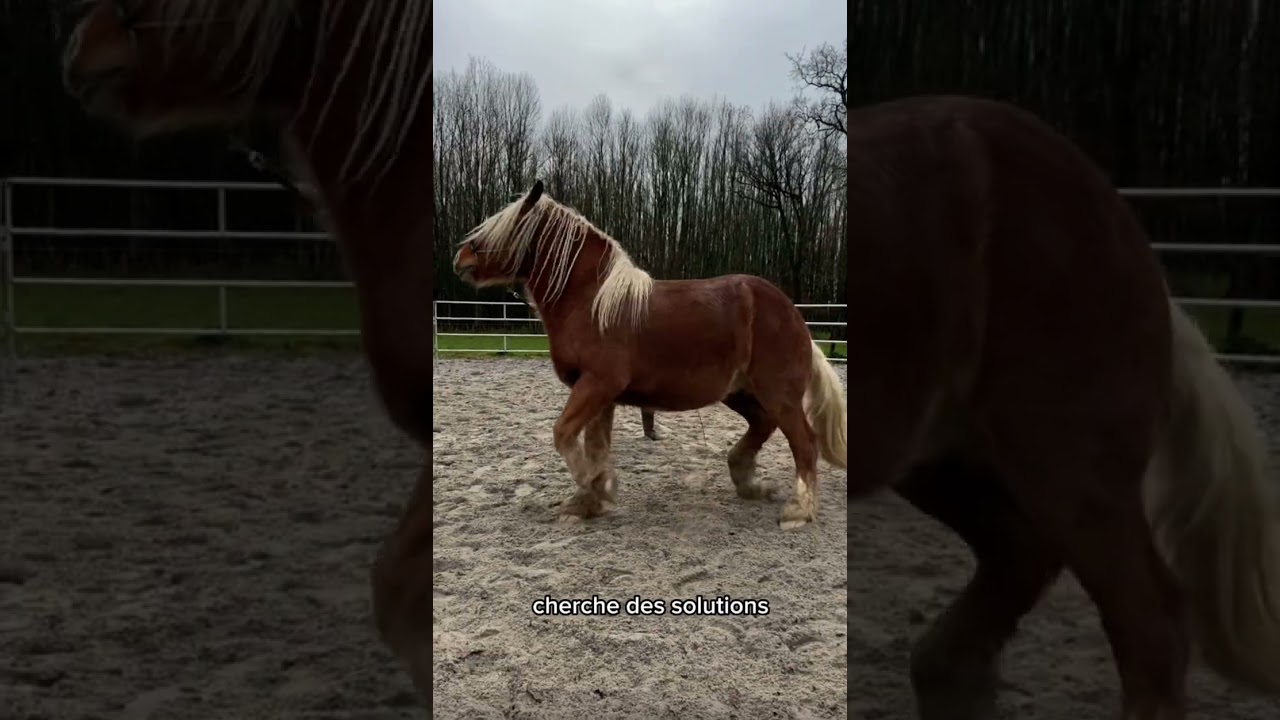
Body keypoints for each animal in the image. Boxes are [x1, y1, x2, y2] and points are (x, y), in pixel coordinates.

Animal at [452, 179, 848, 528]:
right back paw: (750, 483)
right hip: (739, 393)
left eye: (505, 225)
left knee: (804, 443)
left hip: (778, 393)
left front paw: (597, 487)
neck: (591, 302)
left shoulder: (598, 384)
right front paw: (589, 500)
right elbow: (595, 446)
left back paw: (797, 511)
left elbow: (563, 434)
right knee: (763, 425)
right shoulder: (599, 394)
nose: (461, 257)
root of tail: (794, 315)